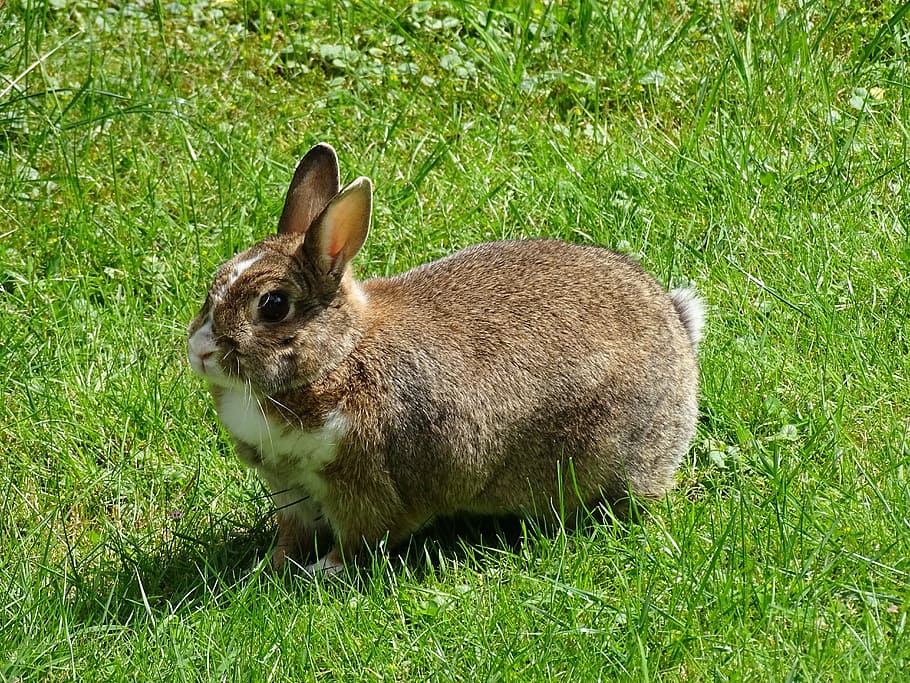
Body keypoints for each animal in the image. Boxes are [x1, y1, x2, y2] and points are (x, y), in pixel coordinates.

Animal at [187, 142, 705, 575]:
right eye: (213, 284)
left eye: (274, 306)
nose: (199, 350)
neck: (340, 357)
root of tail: (679, 334)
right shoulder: (290, 491)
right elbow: (291, 535)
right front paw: (267, 568)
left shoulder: (364, 484)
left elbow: (359, 539)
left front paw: (322, 572)